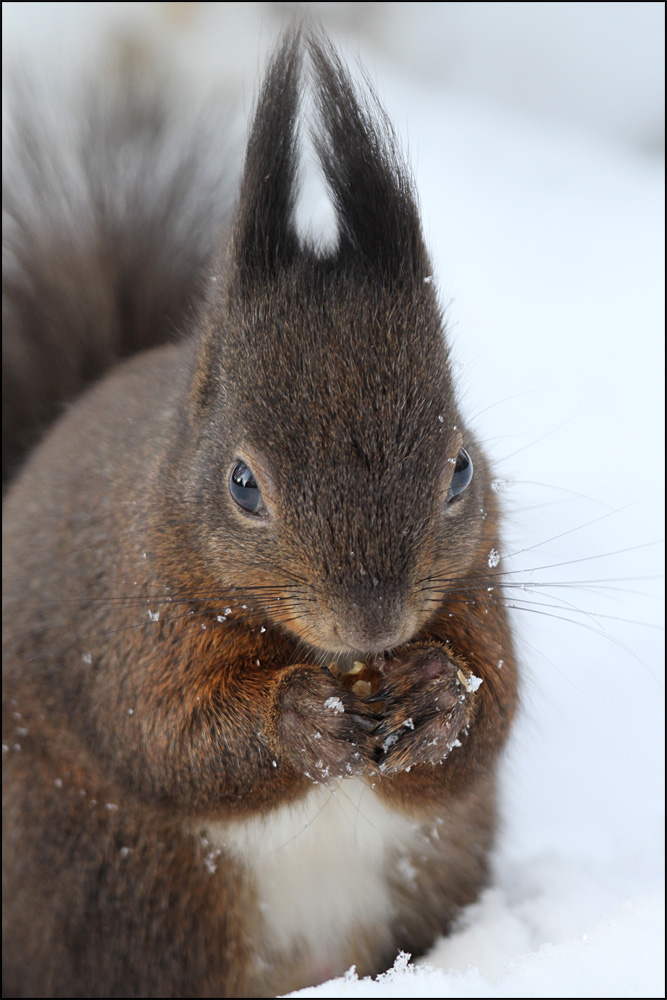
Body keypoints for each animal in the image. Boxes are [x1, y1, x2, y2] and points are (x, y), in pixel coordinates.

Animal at [2, 31, 520, 1000]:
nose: (372, 623)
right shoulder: (133, 619)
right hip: (129, 884)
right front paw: (298, 717)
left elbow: (487, 714)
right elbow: (164, 736)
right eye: (242, 484)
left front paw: (437, 696)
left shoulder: (481, 580)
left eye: (460, 469)